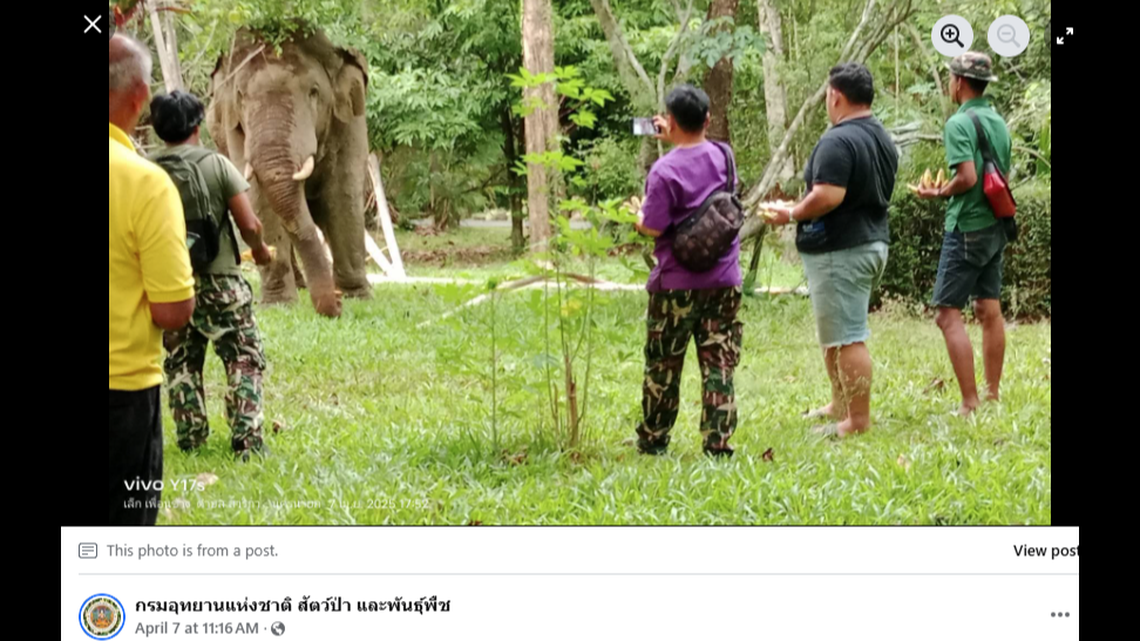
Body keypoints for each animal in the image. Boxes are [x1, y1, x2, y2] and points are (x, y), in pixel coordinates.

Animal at [207, 26, 372, 318]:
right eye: (240, 96)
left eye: (314, 92)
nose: (336, 304)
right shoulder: (234, 128)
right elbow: (258, 199)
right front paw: (278, 304)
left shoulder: (348, 121)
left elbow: (342, 192)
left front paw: (359, 297)